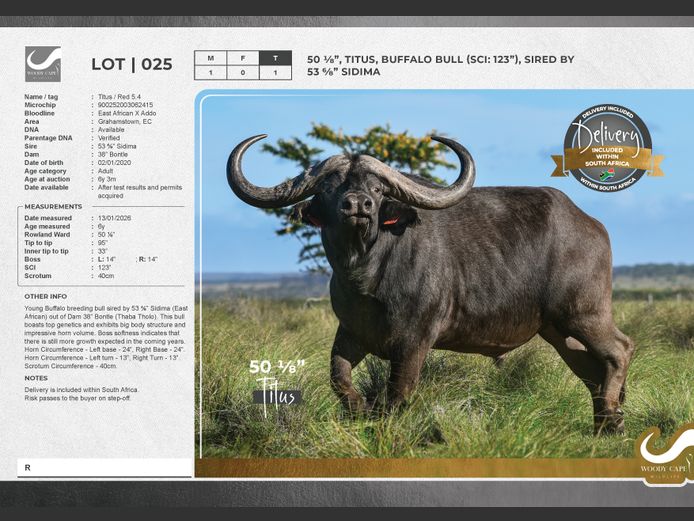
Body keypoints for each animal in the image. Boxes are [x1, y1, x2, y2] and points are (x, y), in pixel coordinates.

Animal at [227, 134, 635, 434]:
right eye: (328, 188)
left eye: (378, 190)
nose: (357, 205)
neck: (367, 277)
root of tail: (593, 226)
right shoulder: (352, 333)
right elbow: (338, 378)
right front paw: (359, 409)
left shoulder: (414, 341)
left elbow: (397, 393)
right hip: (557, 330)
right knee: (592, 371)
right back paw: (606, 423)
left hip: (583, 314)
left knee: (619, 350)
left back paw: (611, 421)